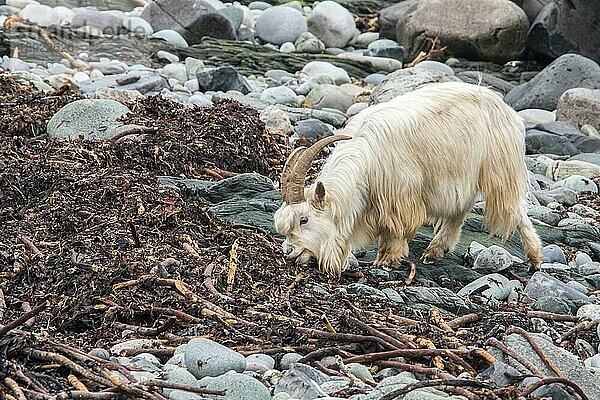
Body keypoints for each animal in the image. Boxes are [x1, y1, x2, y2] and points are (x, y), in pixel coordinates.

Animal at [276, 80, 544, 276]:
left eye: (303, 220)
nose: (289, 252)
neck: (366, 156)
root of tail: (504, 107)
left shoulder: (401, 196)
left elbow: (397, 228)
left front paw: (387, 259)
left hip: (500, 170)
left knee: (516, 209)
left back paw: (534, 259)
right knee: (460, 210)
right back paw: (435, 251)